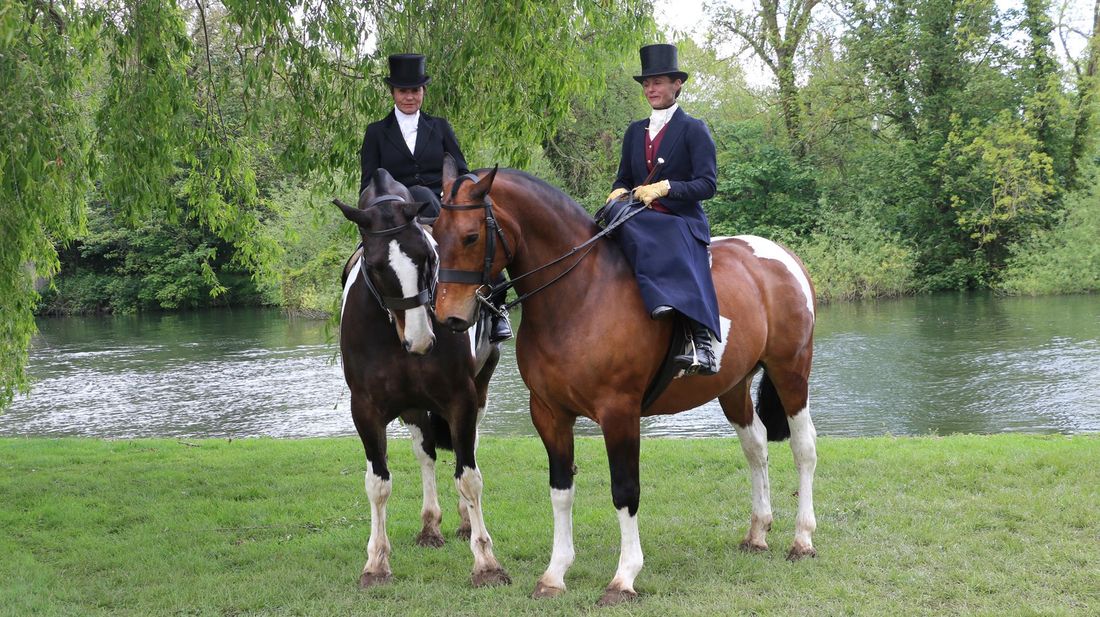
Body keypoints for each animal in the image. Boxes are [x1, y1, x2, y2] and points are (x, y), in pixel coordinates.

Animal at [334, 168, 510, 588]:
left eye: (429, 258)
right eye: (376, 266)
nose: (421, 341)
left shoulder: (461, 398)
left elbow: (469, 476)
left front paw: (486, 562)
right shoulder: (365, 409)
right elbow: (378, 483)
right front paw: (376, 563)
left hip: (478, 389)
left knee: (467, 449)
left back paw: (463, 522)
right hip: (413, 407)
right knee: (425, 452)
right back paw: (430, 526)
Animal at [431, 160, 818, 605]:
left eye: (471, 235)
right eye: (435, 233)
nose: (449, 316)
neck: (579, 294)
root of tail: (783, 256)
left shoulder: (619, 412)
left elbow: (625, 490)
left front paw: (624, 577)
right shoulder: (549, 412)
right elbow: (560, 490)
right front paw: (554, 574)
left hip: (791, 372)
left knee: (804, 448)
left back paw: (802, 539)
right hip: (733, 386)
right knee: (755, 447)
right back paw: (757, 532)